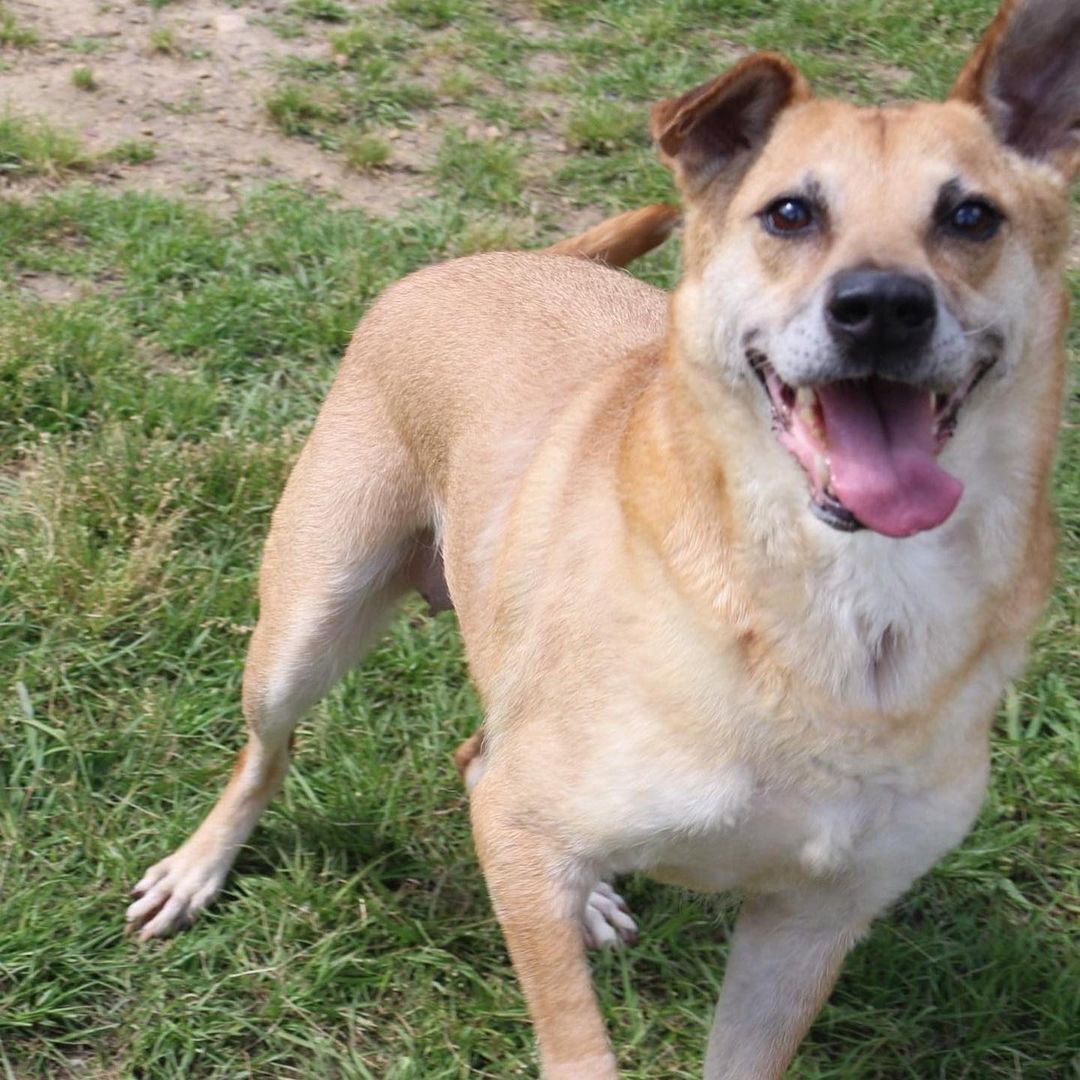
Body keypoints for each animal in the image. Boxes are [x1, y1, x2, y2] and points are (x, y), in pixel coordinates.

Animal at [128, 2, 1080, 1071]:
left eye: (972, 217)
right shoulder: (522, 820)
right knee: (267, 753)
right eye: (790, 213)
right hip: (308, 622)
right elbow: (579, 1043)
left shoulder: (810, 925)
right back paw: (198, 868)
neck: (842, 604)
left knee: (475, 756)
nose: (881, 307)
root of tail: (512, 256)